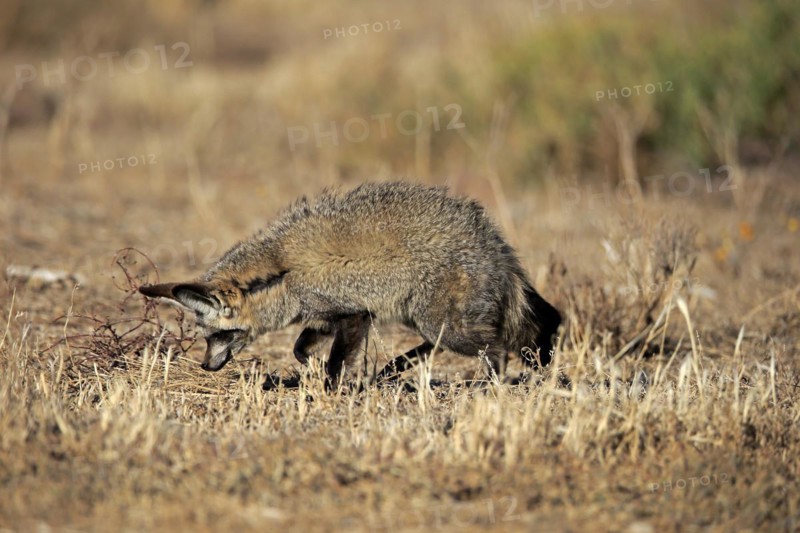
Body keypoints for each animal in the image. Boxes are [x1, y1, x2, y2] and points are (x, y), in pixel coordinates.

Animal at [139, 181, 561, 386]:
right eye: (207, 337)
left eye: (218, 335)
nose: (206, 366)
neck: (282, 270)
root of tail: (496, 245)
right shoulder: (328, 317)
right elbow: (300, 349)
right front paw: (313, 370)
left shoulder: (355, 315)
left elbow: (334, 363)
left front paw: (331, 389)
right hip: (424, 318)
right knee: (439, 344)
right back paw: (393, 369)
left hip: (444, 324)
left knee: (497, 349)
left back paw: (490, 385)